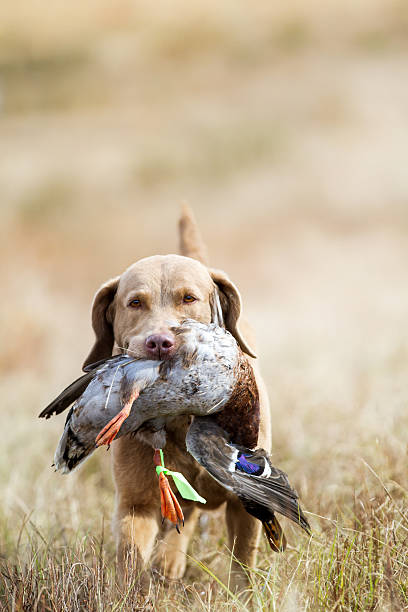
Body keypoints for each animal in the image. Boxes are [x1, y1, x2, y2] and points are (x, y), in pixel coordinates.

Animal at [82, 208, 270, 592]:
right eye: (135, 302)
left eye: (189, 298)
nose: (159, 342)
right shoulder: (136, 503)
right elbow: (131, 556)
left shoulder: (245, 505)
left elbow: (243, 565)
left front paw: (245, 597)